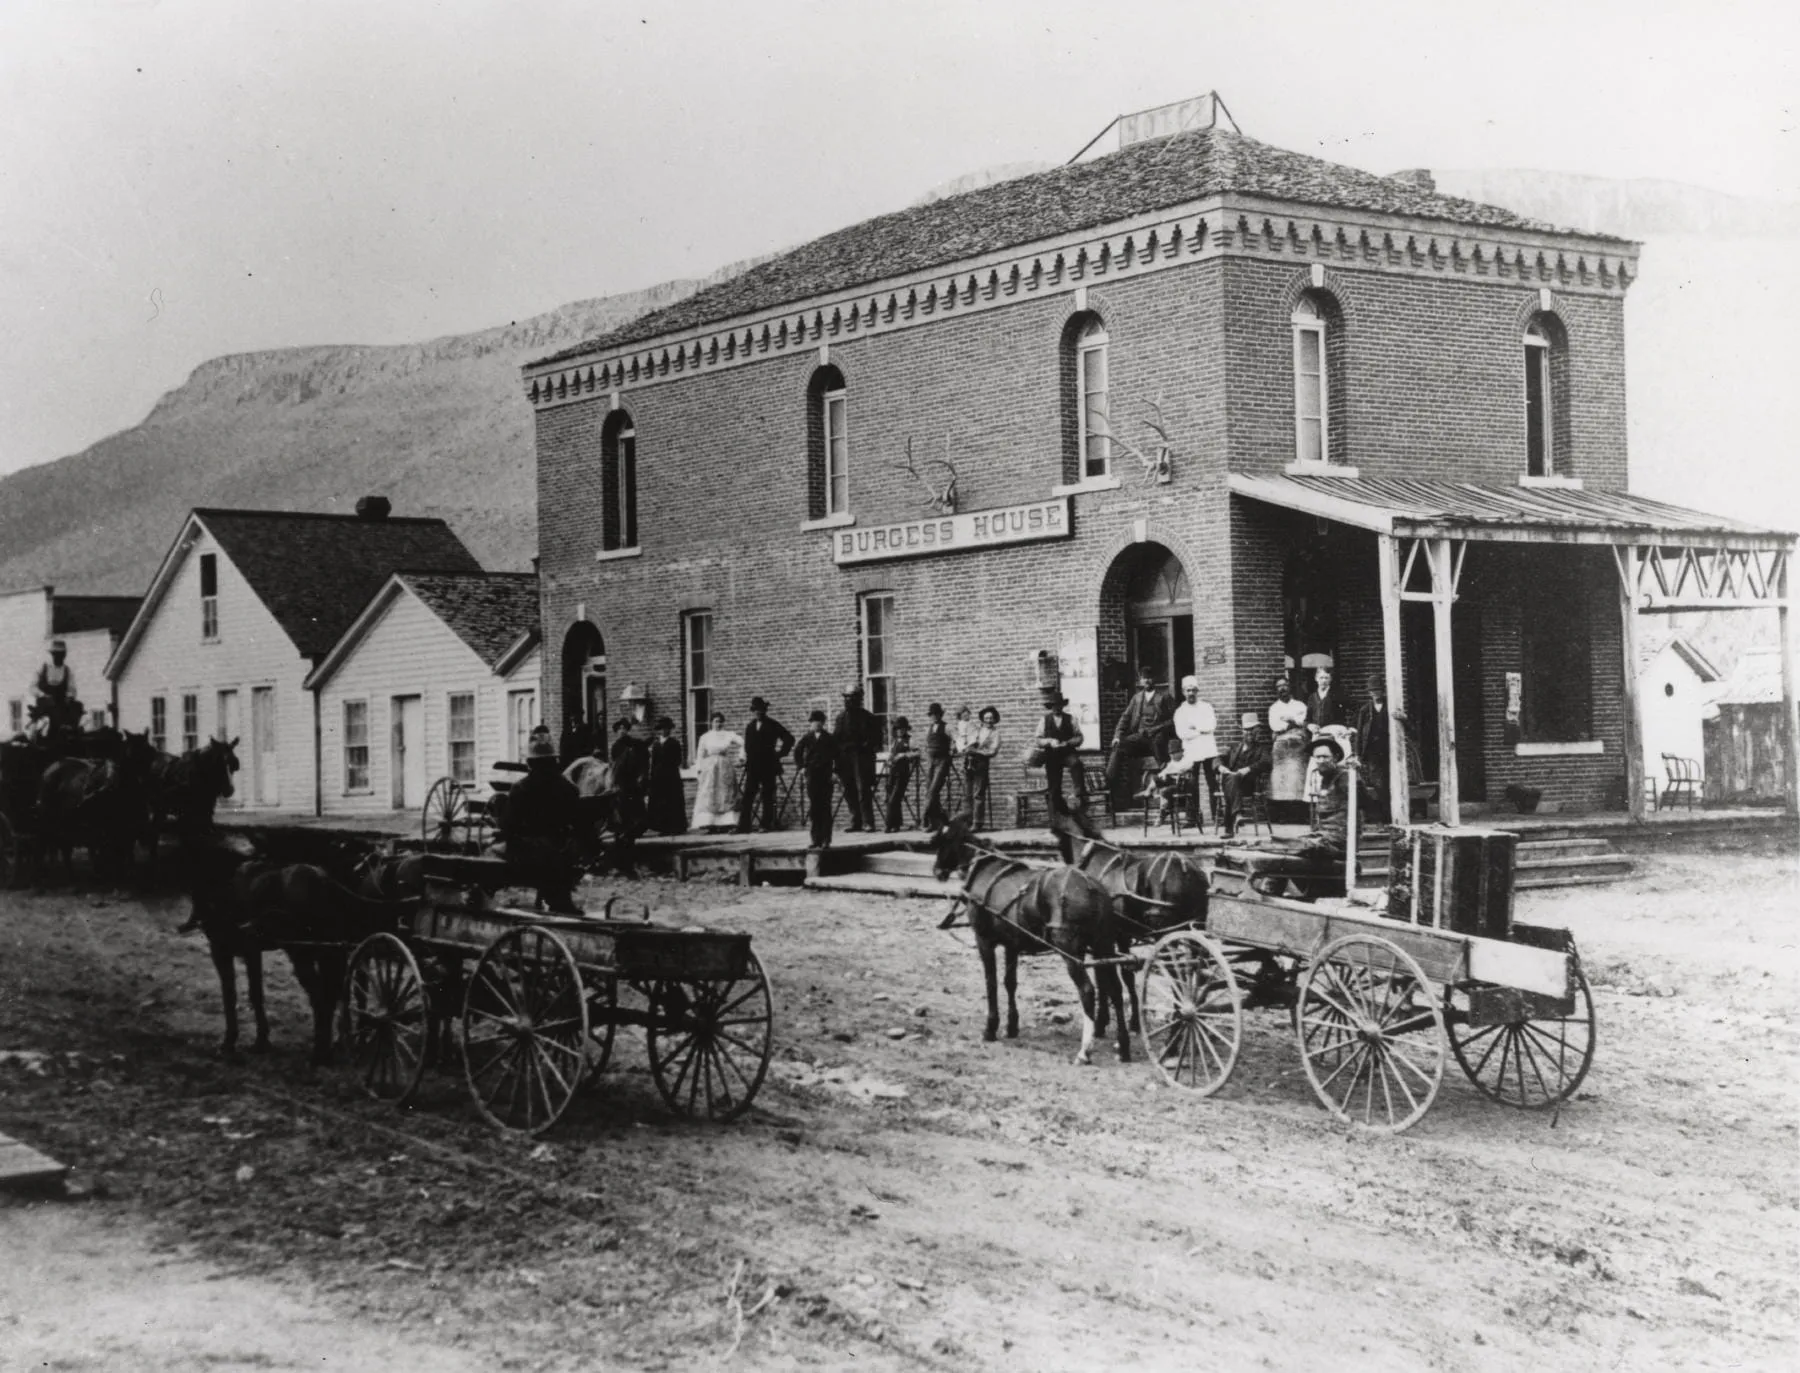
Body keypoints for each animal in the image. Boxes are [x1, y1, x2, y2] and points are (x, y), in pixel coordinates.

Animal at [180, 830, 416, 1063]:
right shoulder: (252, 951)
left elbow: (230, 995)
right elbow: (256, 993)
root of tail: (323, 880)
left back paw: (322, 1051)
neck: (226, 881)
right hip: (330, 952)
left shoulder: (222, 949)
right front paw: (261, 1041)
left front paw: (229, 1042)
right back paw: (338, 1043)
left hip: (305, 953)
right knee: (337, 993)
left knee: (322, 996)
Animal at [931, 813, 1130, 1064]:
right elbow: (1010, 982)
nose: (937, 871)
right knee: (1115, 989)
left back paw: (1085, 1050)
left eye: (943, 840)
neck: (984, 869)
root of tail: (1091, 886)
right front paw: (1012, 1025)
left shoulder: (984, 939)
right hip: (1102, 944)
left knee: (1087, 990)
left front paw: (990, 1028)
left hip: (1071, 950)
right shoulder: (1011, 944)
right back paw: (1123, 1046)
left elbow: (991, 982)